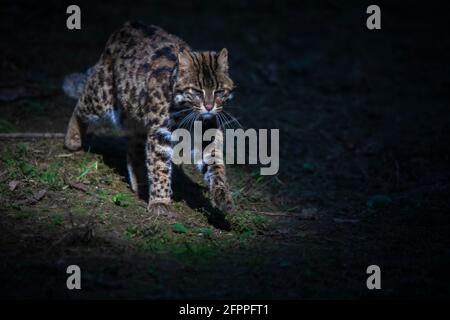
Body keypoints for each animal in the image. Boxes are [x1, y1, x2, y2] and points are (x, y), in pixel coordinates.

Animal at [63, 20, 236, 216]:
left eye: (220, 92)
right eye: (197, 91)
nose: (209, 107)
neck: (188, 113)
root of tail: (126, 25)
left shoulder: (207, 133)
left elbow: (216, 166)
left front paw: (223, 196)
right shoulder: (160, 133)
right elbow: (159, 167)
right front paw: (160, 201)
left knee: (134, 148)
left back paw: (141, 184)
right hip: (102, 97)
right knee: (81, 102)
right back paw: (72, 139)